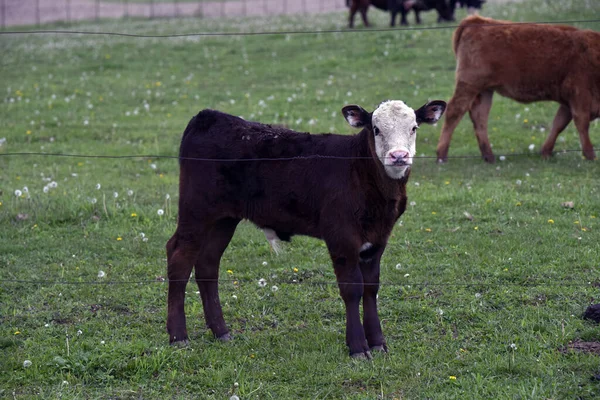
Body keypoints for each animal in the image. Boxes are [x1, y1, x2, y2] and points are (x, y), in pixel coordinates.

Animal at [436, 15, 600, 162]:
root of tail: (477, 20)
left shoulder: (567, 102)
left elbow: (558, 124)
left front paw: (546, 153)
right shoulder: (579, 95)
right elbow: (581, 122)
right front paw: (590, 156)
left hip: (485, 90)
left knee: (479, 116)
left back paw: (489, 156)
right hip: (469, 85)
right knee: (454, 111)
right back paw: (441, 156)